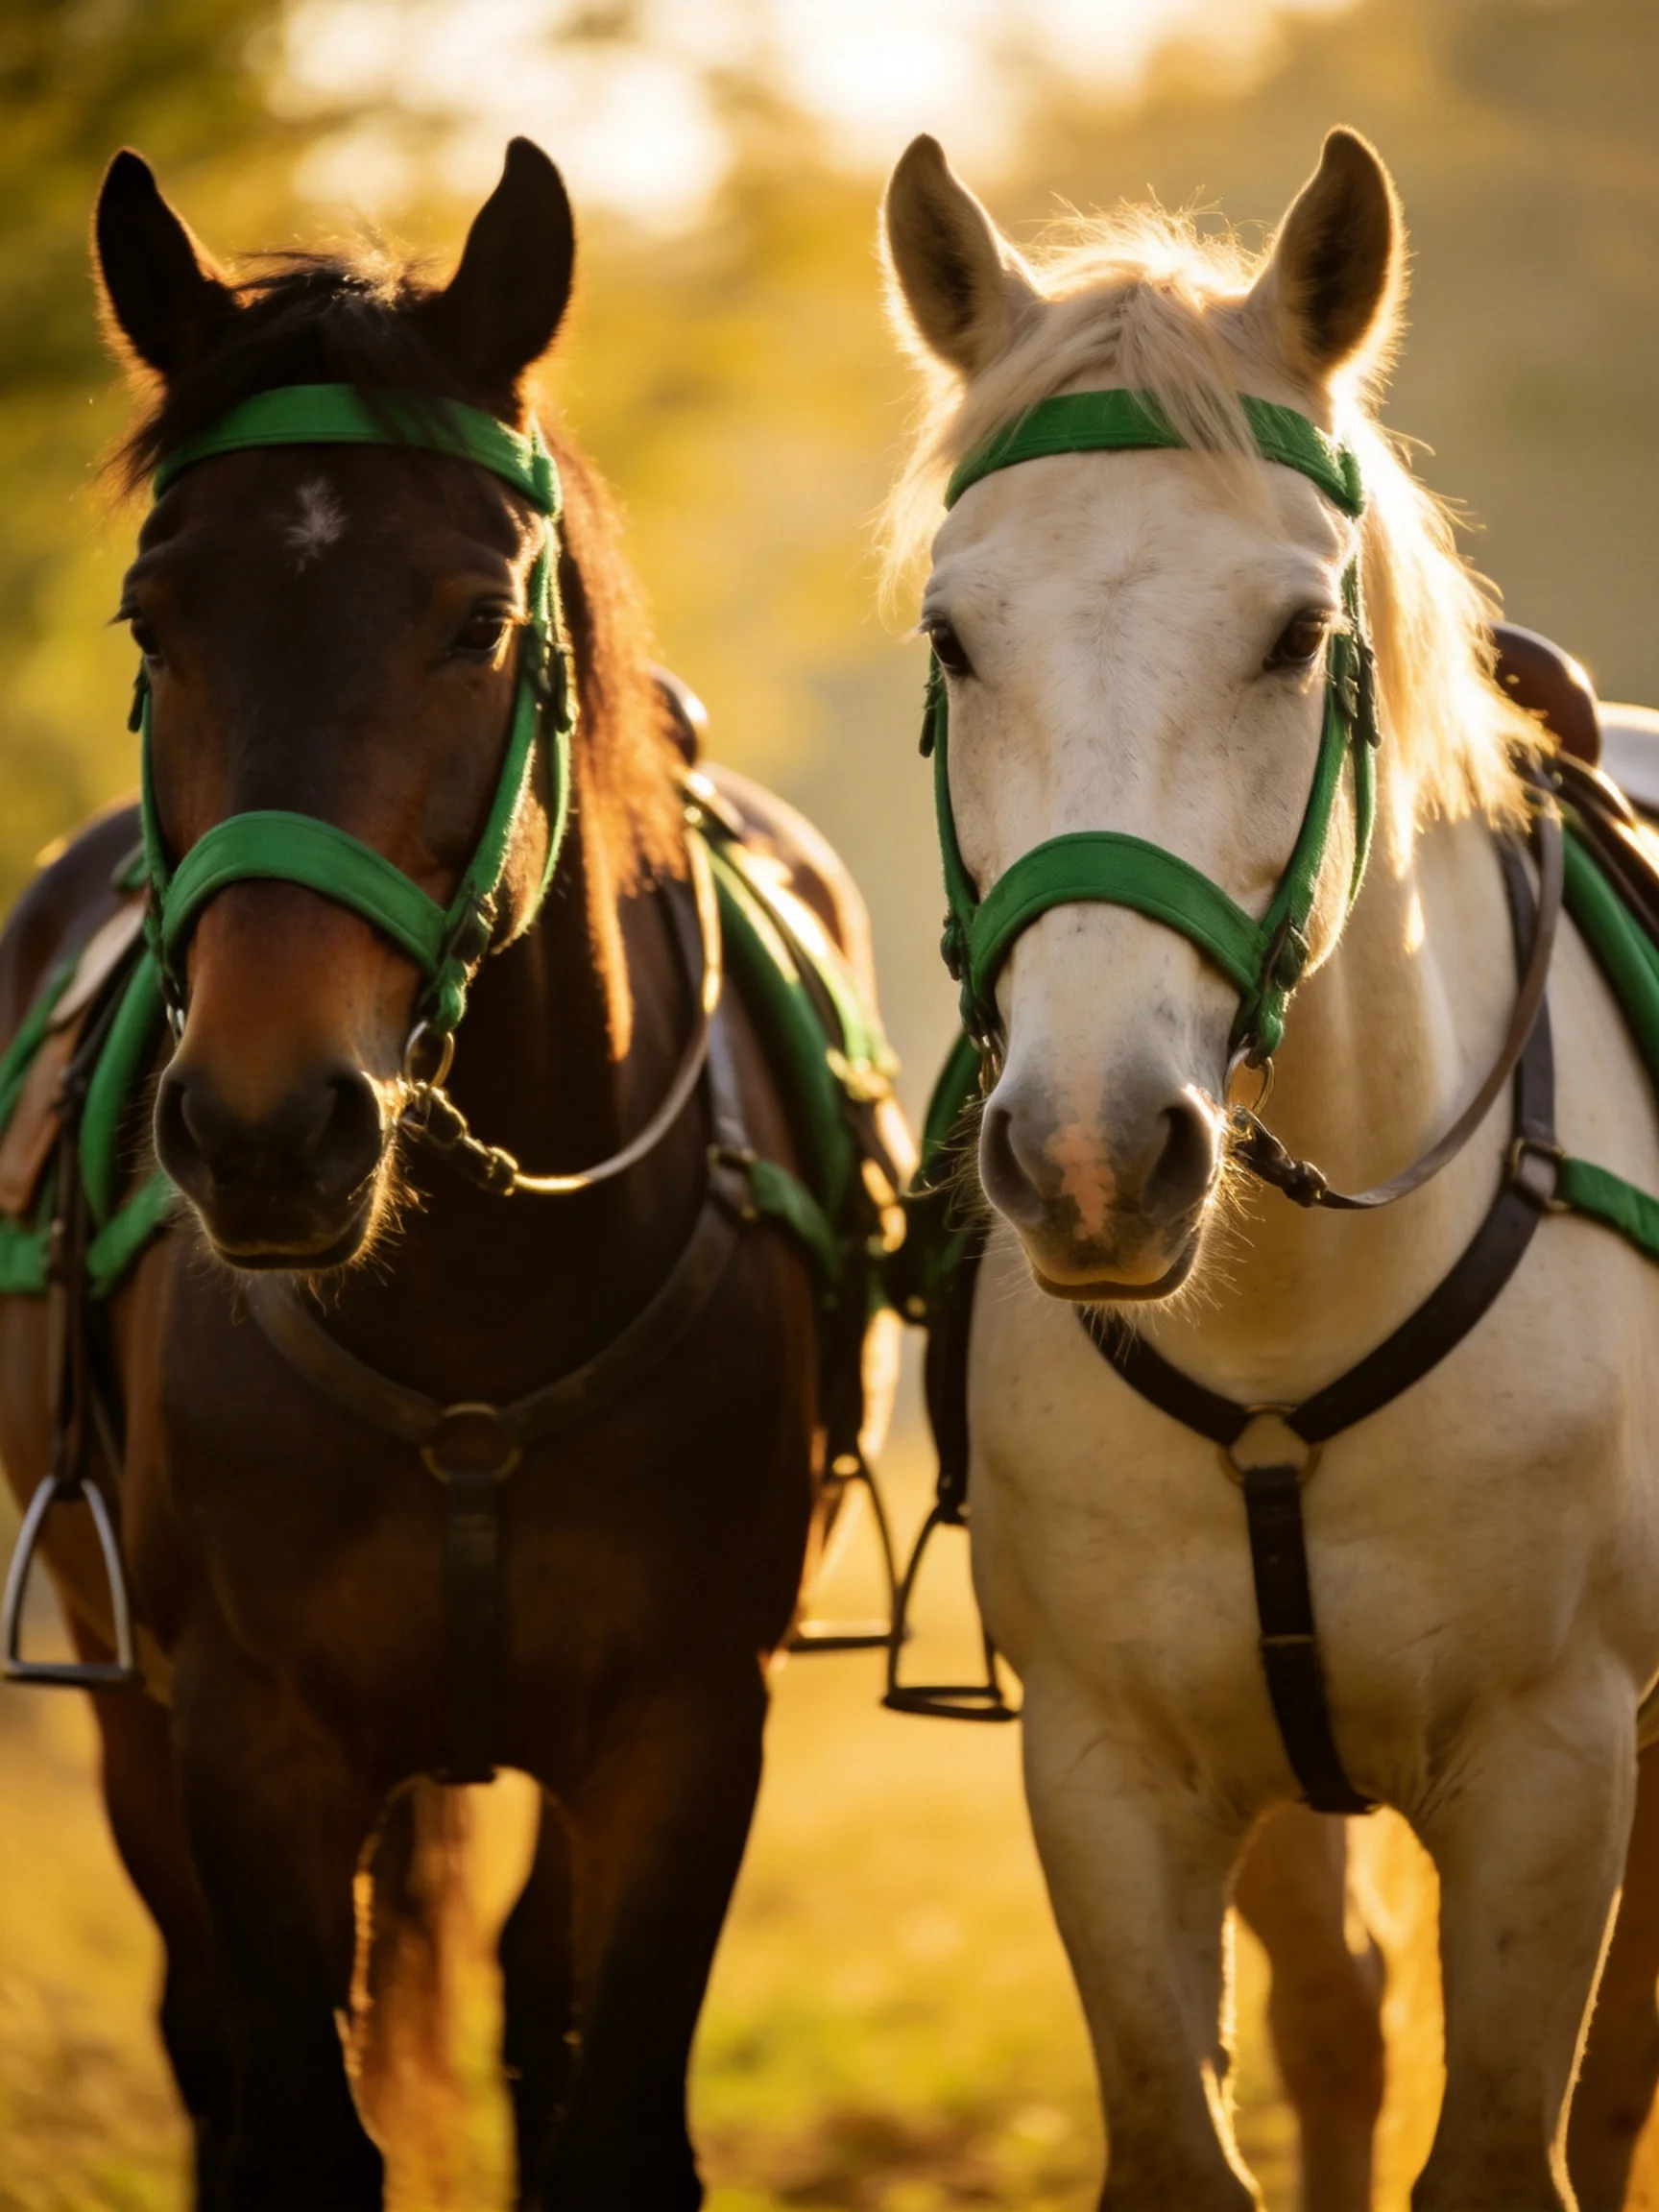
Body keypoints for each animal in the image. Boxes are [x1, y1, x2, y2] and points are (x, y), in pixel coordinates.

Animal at [0, 139, 901, 2209]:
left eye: (477, 618)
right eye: (153, 620)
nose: (268, 1123)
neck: (480, 1309)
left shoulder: (683, 1730)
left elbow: (602, 2103)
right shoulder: (239, 1738)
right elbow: (287, 2113)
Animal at [881, 125, 1659, 2210]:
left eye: (1296, 636)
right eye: (954, 636)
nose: (1088, 1156)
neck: (1288, 1324)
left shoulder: (1555, 1766)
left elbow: (1519, 2137)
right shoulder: (1107, 1774)